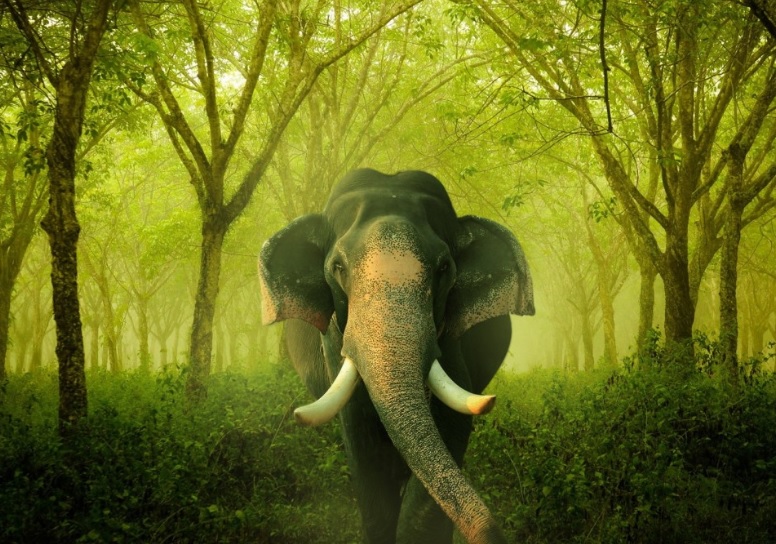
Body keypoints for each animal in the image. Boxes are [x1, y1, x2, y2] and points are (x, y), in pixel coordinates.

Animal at [259, 169, 534, 544]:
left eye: (444, 267)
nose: (494, 534)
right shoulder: (334, 338)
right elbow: (360, 434)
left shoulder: (450, 337)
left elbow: (451, 422)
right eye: (338, 266)